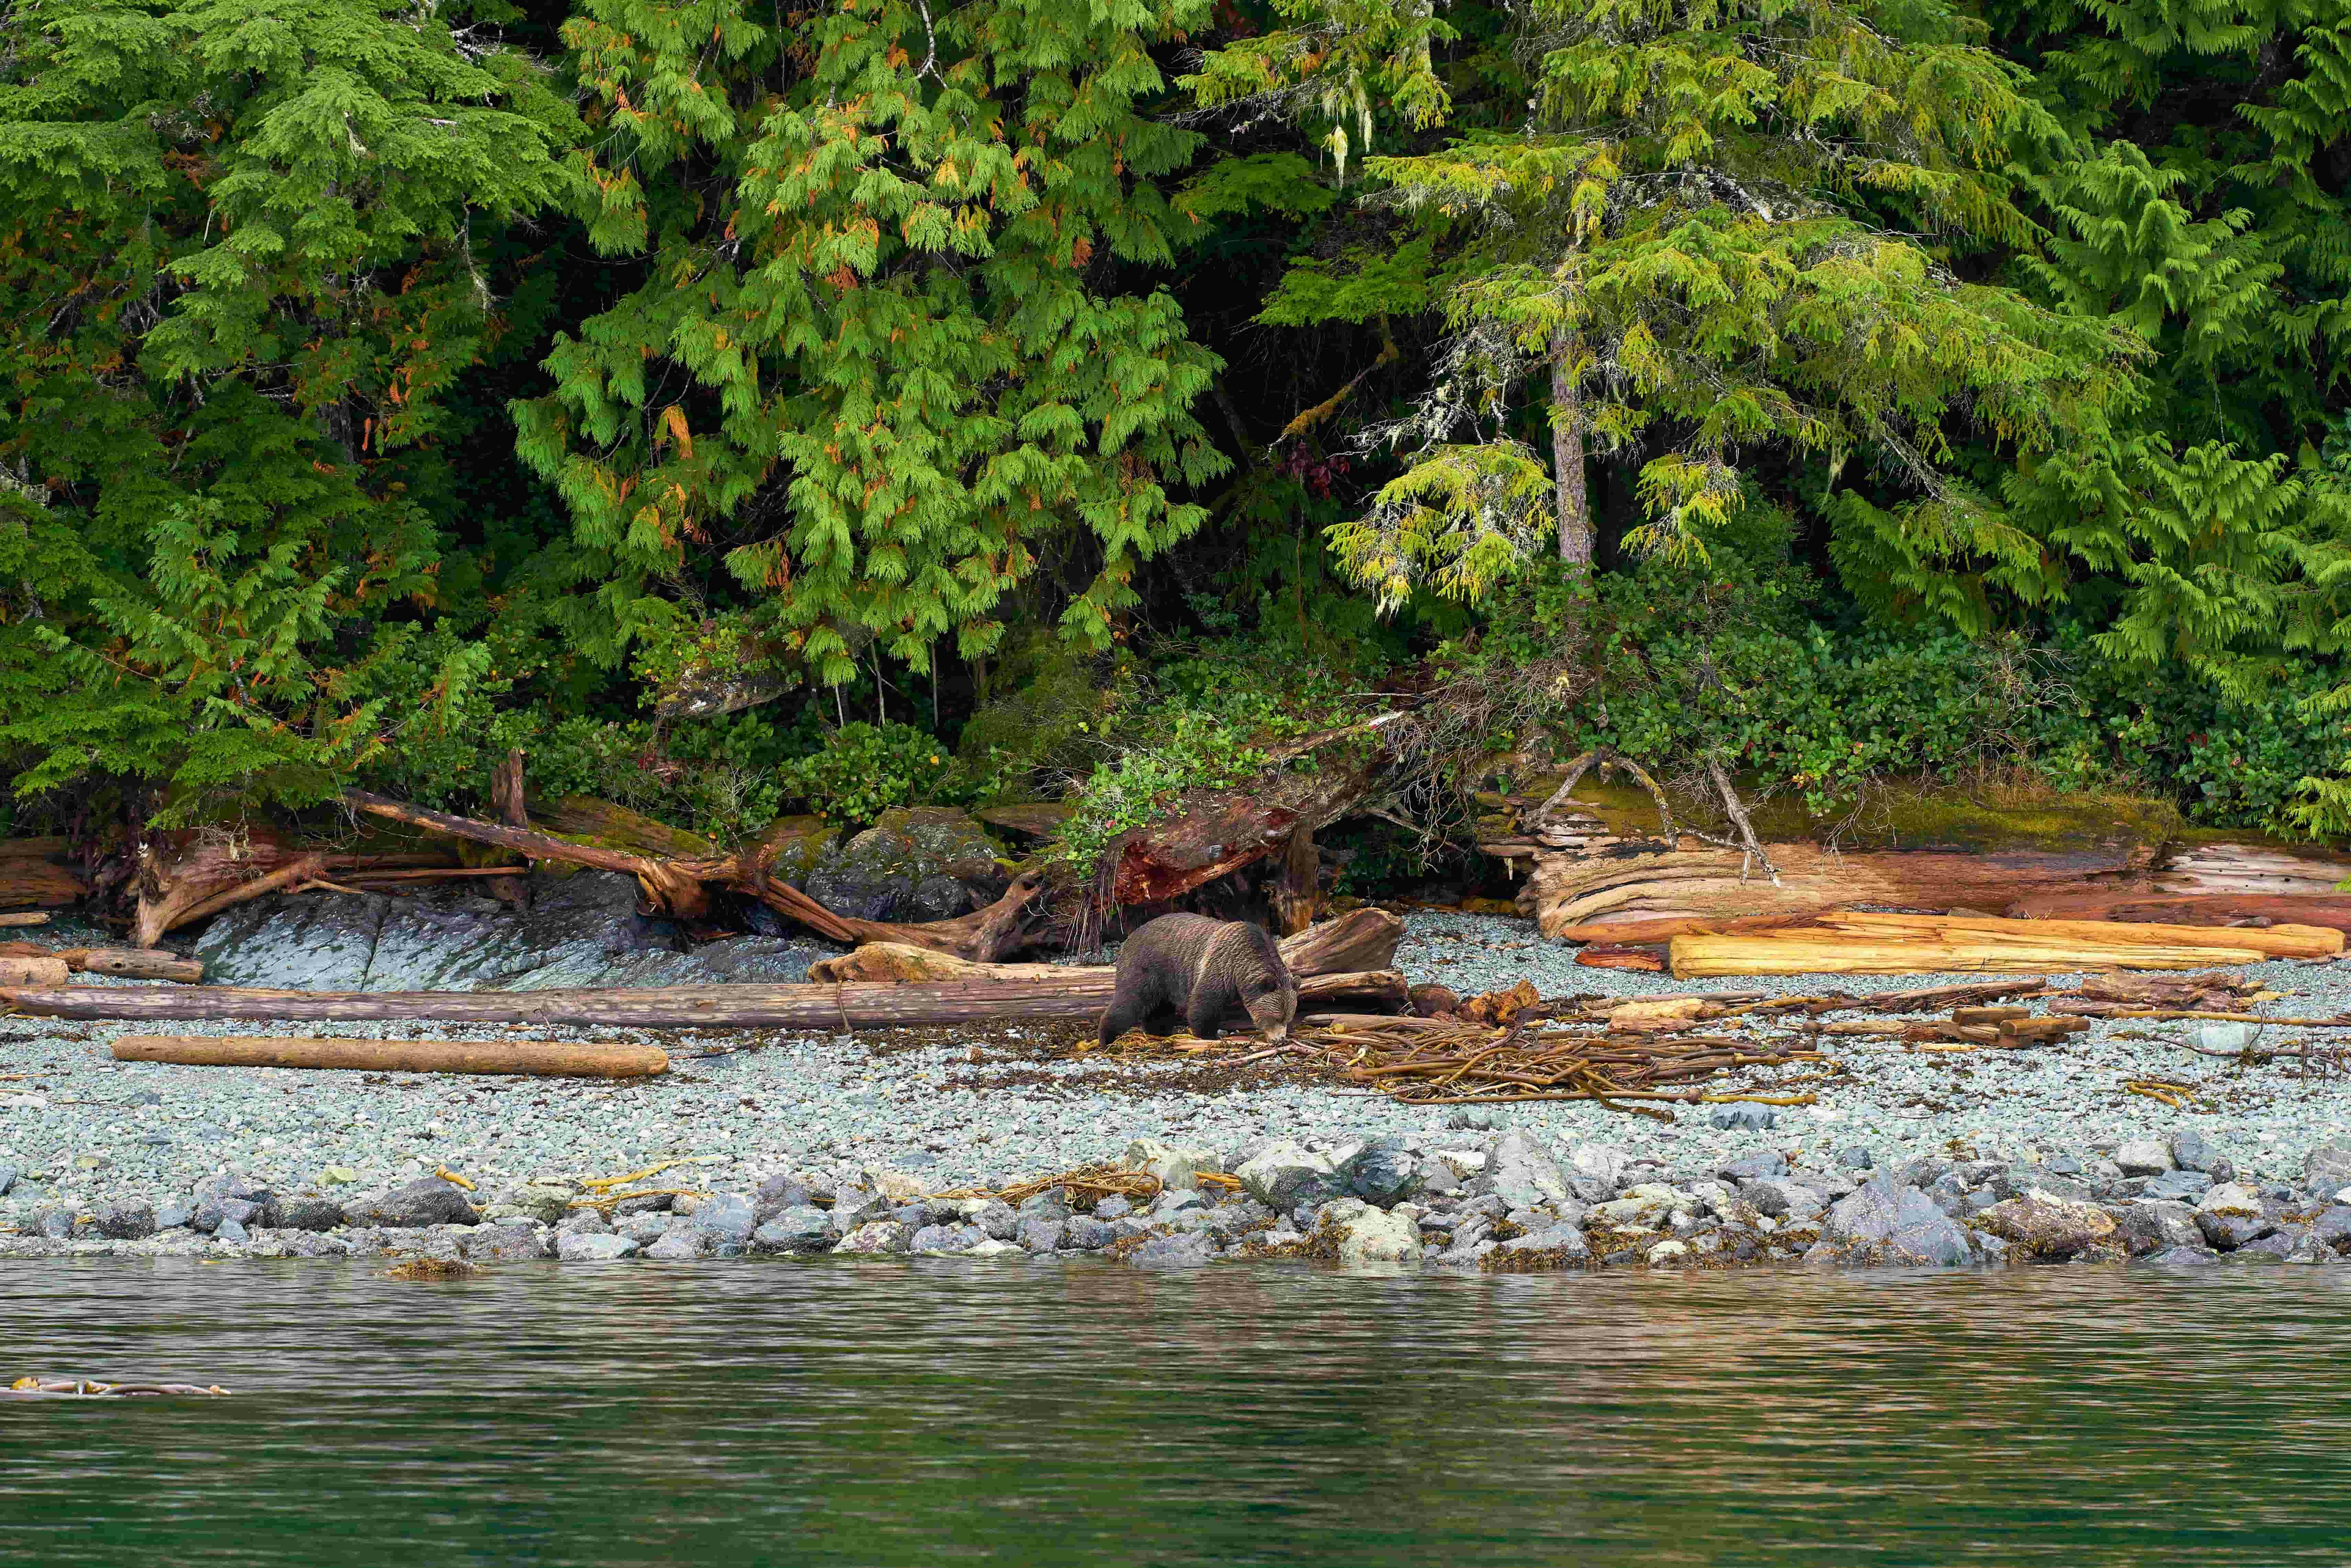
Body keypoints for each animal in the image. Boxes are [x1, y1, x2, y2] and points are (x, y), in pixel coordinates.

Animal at [1097, 913, 1300, 1046]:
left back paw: (1159, 1031)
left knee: (1160, 1008)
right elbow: (1204, 1002)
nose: (1280, 1040)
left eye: (1288, 1019)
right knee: (1130, 1001)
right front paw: (1208, 1033)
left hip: (1166, 980)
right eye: (1275, 1018)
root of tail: (1130, 938)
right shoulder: (1221, 966)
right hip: (1148, 967)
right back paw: (1107, 1038)